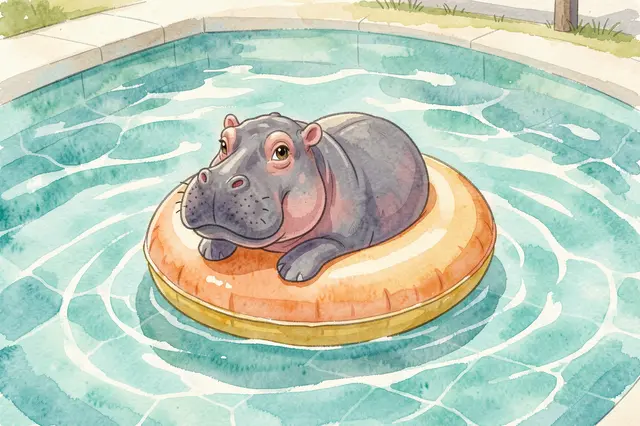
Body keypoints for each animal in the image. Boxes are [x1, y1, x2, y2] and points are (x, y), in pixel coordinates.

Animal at [180, 112, 429, 283]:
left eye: (281, 151)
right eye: (223, 143)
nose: (219, 180)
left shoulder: (349, 235)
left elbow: (324, 242)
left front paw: (292, 268)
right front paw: (210, 247)